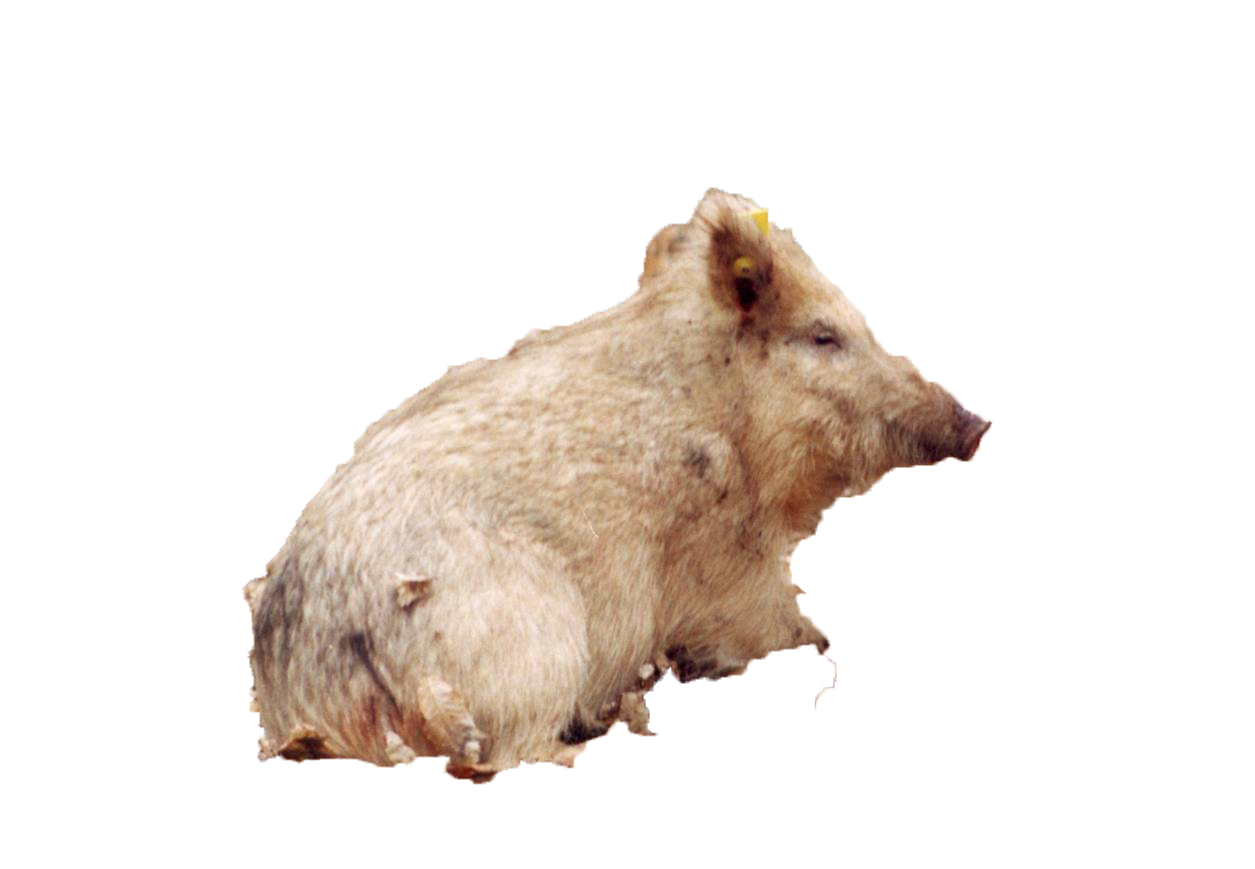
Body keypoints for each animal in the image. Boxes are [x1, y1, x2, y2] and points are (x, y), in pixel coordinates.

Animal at [251, 191, 991, 768]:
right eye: (822, 337)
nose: (976, 419)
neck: (720, 406)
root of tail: (308, 692)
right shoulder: (717, 549)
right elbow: (774, 625)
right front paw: (825, 636)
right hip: (525, 640)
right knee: (512, 754)